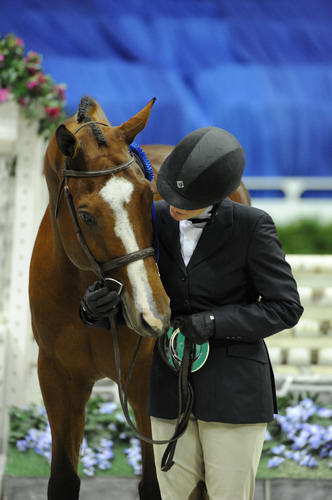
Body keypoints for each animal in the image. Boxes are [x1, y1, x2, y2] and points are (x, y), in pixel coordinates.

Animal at [29, 94, 250, 500]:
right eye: (86, 216)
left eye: (148, 197)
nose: (154, 314)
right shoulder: (58, 379)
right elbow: (63, 479)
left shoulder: (149, 390)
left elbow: (154, 484)